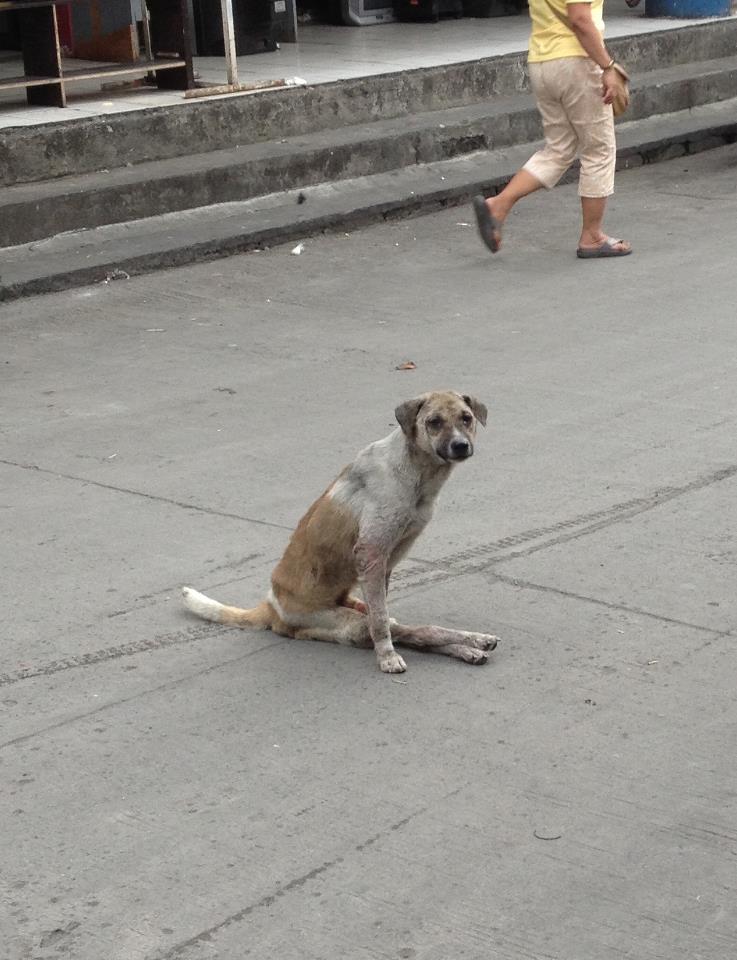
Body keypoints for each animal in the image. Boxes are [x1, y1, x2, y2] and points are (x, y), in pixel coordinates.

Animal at [181, 390, 498, 676]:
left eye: (466, 418)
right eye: (434, 421)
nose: (460, 445)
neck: (415, 470)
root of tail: (271, 603)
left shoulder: (382, 565)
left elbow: (383, 615)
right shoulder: (371, 553)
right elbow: (381, 622)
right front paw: (387, 658)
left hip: (354, 607)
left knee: (407, 629)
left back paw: (473, 644)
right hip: (339, 620)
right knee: (408, 631)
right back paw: (467, 644)